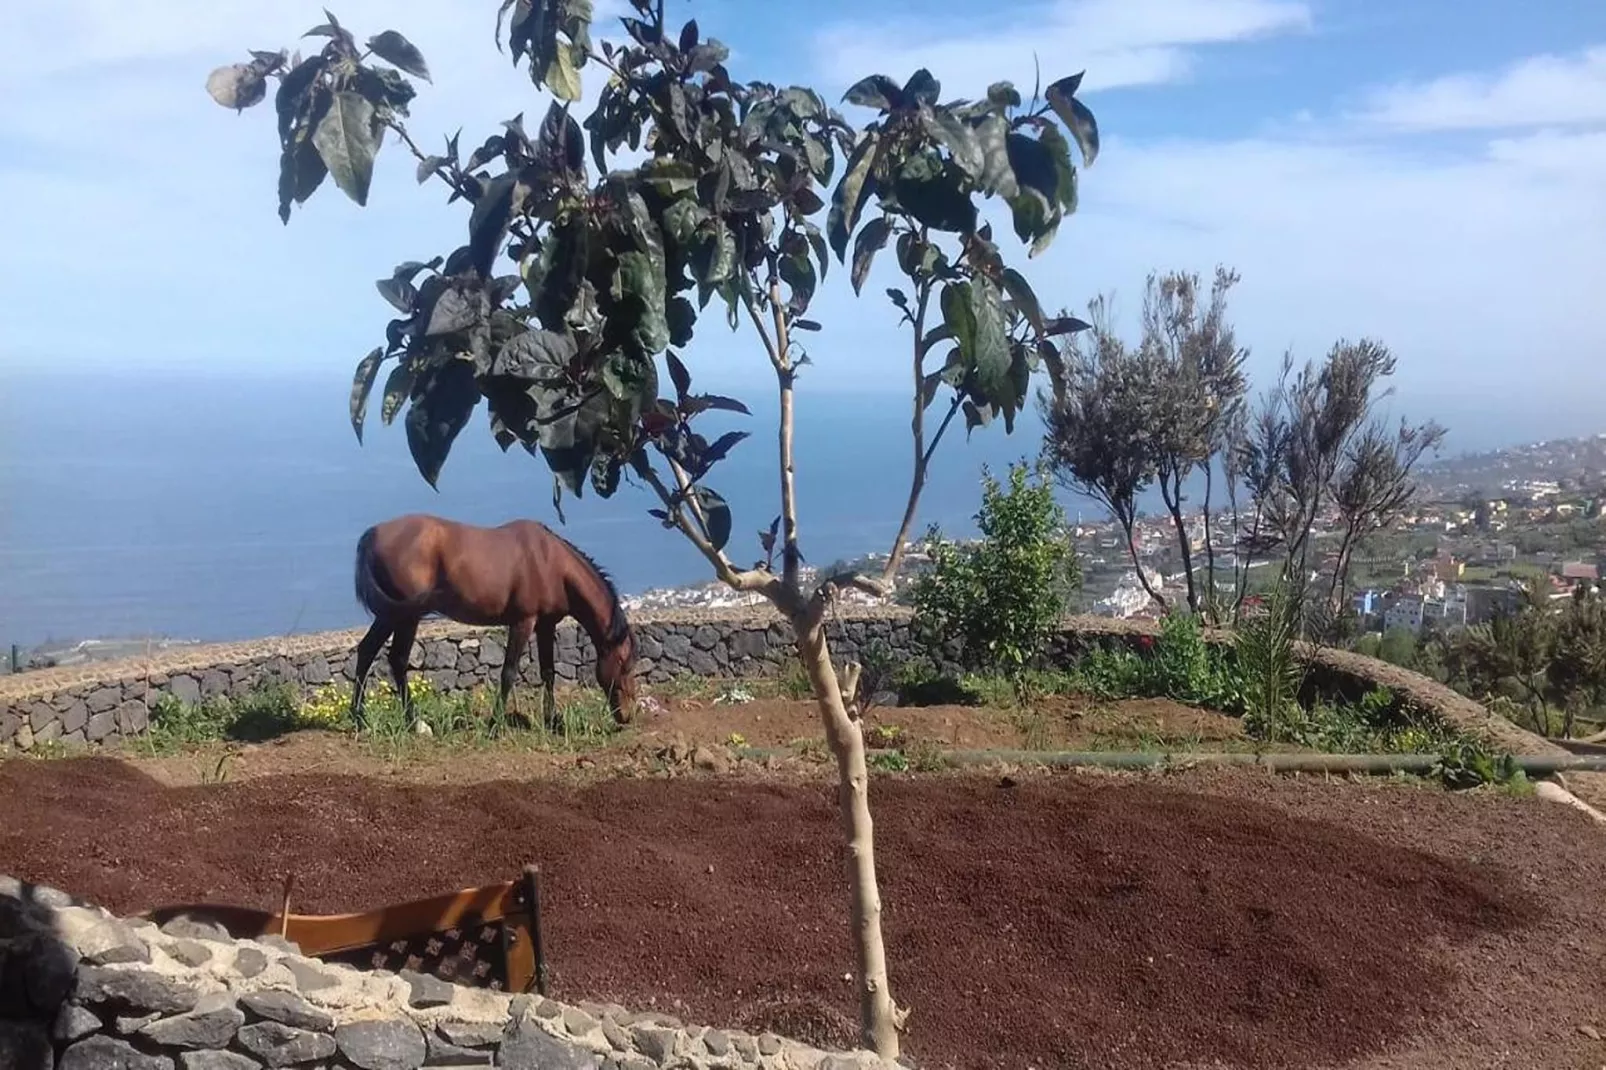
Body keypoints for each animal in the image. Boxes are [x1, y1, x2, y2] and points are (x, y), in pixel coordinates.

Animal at [348, 514, 635, 729]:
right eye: (623, 663)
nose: (627, 715)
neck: (550, 562)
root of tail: (373, 534)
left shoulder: (546, 624)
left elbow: (548, 672)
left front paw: (552, 720)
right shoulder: (523, 622)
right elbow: (508, 673)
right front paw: (495, 724)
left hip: (391, 614)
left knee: (367, 650)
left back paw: (359, 718)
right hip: (406, 616)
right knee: (397, 659)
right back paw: (413, 722)